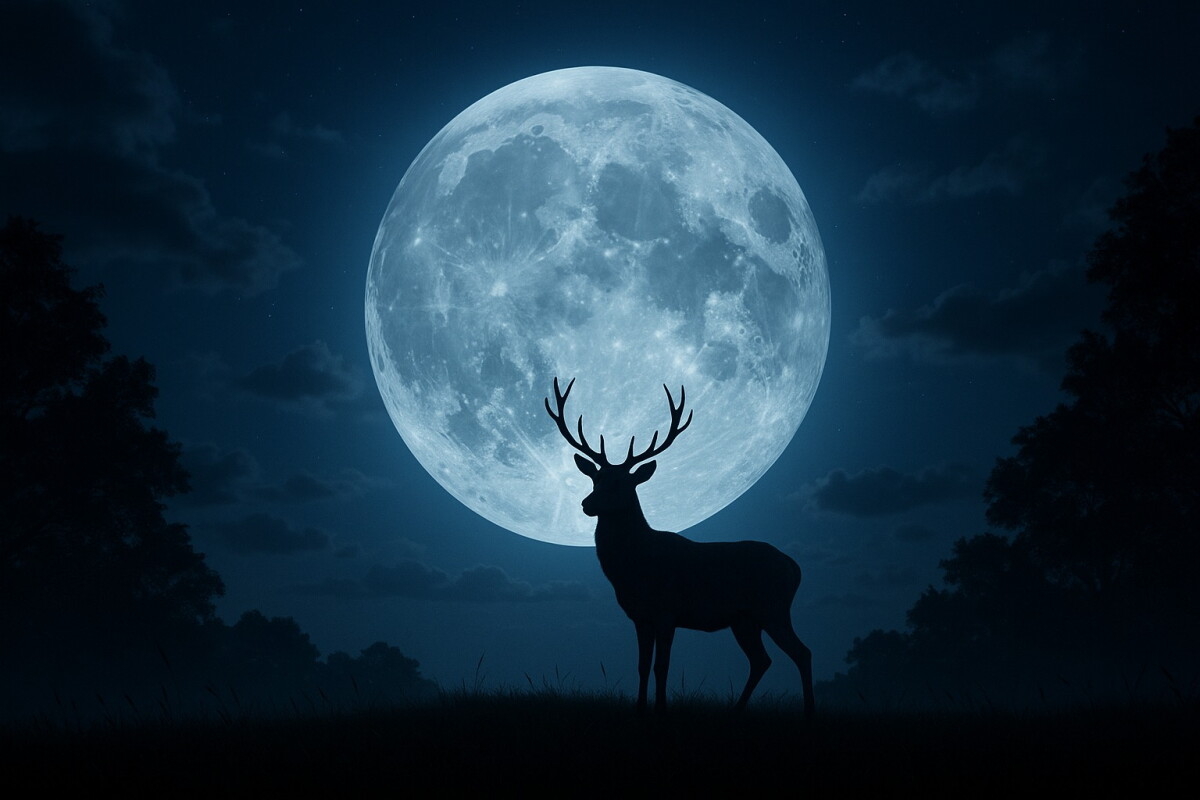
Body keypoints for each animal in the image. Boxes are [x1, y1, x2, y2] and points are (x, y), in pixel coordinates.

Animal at [545, 377, 815, 717]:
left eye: (622, 483)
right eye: (595, 479)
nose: (586, 504)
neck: (634, 567)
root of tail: (795, 567)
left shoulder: (667, 612)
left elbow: (662, 667)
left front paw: (661, 709)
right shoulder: (640, 617)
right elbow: (642, 667)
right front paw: (640, 708)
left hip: (773, 607)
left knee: (802, 652)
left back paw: (808, 711)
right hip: (745, 620)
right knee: (761, 660)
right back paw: (736, 710)